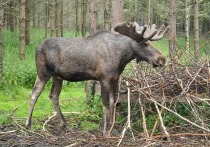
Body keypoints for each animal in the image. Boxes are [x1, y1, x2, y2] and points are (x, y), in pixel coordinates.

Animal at [25, 22, 169, 138]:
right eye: (145, 43)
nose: (162, 59)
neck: (122, 57)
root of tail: (36, 47)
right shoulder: (104, 78)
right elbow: (105, 104)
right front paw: (105, 131)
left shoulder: (115, 79)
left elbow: (113, 102)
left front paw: (112, 128)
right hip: (43, 73)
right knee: (34, 94)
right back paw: (28, 125)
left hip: (58, 76)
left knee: (53, 96)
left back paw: (66, 126)